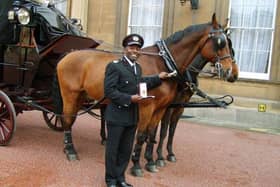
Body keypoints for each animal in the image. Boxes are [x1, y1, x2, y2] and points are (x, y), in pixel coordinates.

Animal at [56, 13, 234, 164]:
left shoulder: (162, 107)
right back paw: (70, 150)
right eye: (221, 42)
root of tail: (68, 54)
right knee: (67, 119)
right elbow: (144, 134)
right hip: (70, 95)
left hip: (81, 96)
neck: (164, 63)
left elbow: (153, 132)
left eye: (228, 43)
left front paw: (150, 160)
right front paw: (138, 162)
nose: (230, 72)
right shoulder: (148, 106)